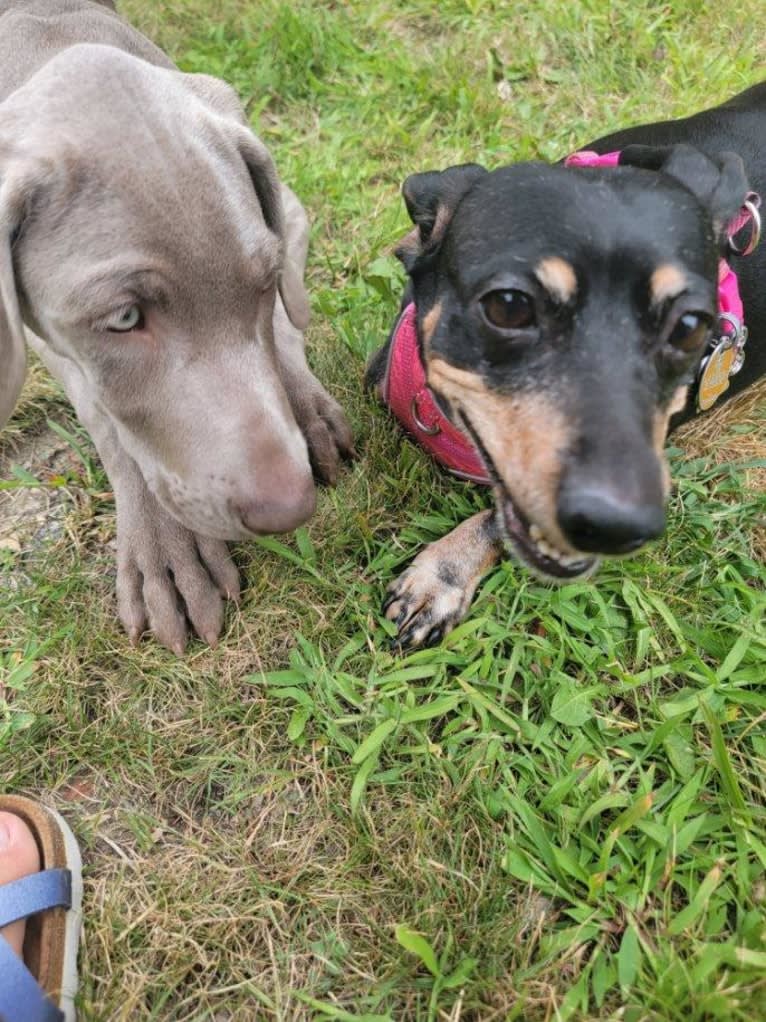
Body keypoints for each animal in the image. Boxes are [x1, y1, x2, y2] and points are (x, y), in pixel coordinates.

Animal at [0, 0, 353, 649]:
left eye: (263, 283)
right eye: (123, 318)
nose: (291, 509)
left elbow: (280, 326)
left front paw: (306, 410)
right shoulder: (44, 338)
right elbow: (109, 418)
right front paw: (166, 550)